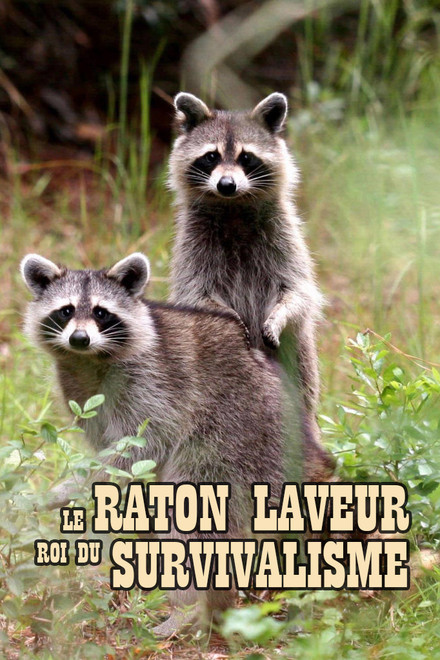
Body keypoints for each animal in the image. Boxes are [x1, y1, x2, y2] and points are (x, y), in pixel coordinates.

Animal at [20, 252, 297, 635]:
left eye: (101, 313)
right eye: (65, 310)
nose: (79, 338)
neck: (90, 359)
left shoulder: (156, 379)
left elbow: (146, 443)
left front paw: (90, 486)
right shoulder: (78, 387)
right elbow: (108, 447)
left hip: (233, 435)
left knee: (192, 522)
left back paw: (186, 610)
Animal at [168, 92, 334, 482]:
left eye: (246, 158)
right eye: (211, 157)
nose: (226, 184)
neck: (233, 207)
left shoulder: (286, 238)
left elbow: (299, 291)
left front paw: (278, 316)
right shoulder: (192, 249)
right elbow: (197, 296)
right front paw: (230, 317)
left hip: (300, 365)